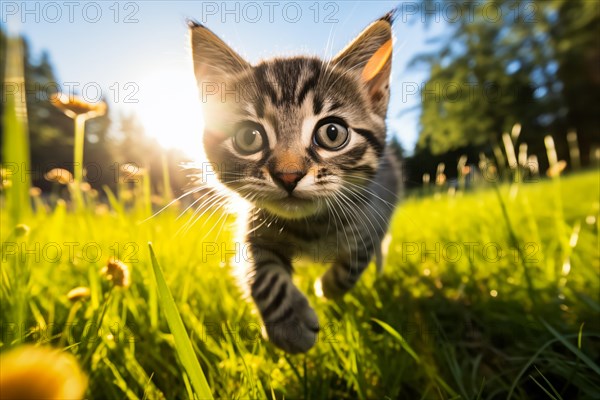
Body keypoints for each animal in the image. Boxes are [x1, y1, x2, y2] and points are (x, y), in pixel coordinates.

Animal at [190, 11, 400, 354]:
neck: (310, 227)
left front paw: (327, 287)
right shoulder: (253, 230)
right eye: (249, 137)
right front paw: (289, 326)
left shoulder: (371, 216)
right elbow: (261, 276)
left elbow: (356, 259)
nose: (288, 175)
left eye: (332, 133)